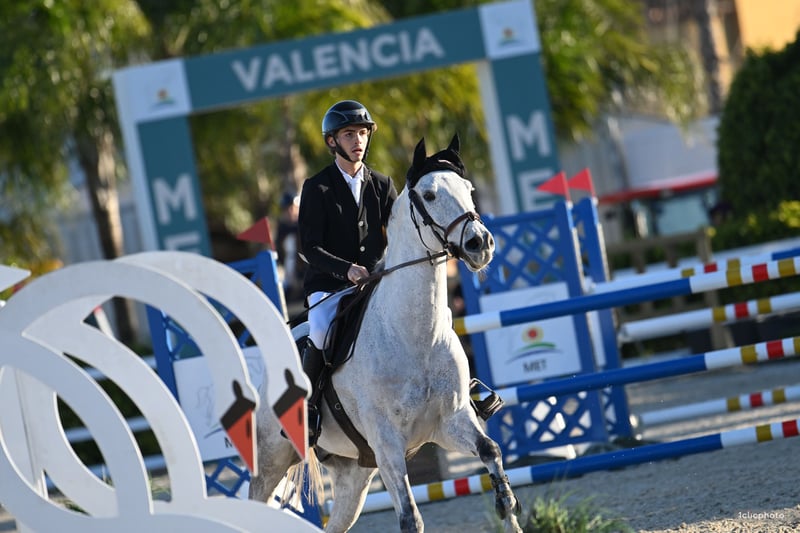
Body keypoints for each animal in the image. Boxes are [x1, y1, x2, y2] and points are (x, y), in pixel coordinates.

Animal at [249, 135, 522, 533]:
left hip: (354, 474)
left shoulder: (450, 422)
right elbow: (411, 518)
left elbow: (492, 452)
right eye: (429, 195)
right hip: (272, 462)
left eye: (469, 189)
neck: (415, 337)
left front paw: (507, 506)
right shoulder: (388, 444)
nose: (480, 244)